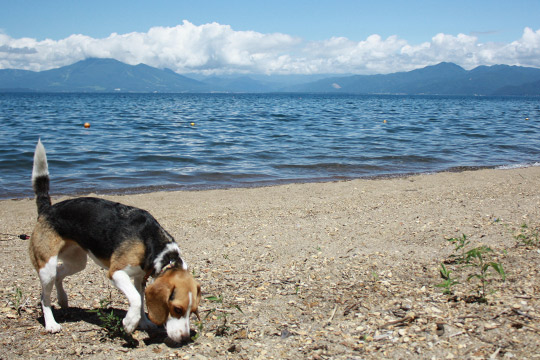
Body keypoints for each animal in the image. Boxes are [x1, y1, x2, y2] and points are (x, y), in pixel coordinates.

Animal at [28, 139, 200, 342]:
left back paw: (63, 299)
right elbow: (136, 300)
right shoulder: (116, 272)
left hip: (77, 261)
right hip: (46, 266)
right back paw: (51, 324)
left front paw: (143, 322)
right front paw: (130, 323)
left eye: (193, 311)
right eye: (177, 309)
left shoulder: (140, 278)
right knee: (44, 297)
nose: (185, 338)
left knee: (59, 275)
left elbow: (141, 300)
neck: (154, 245)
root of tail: (47, 210)